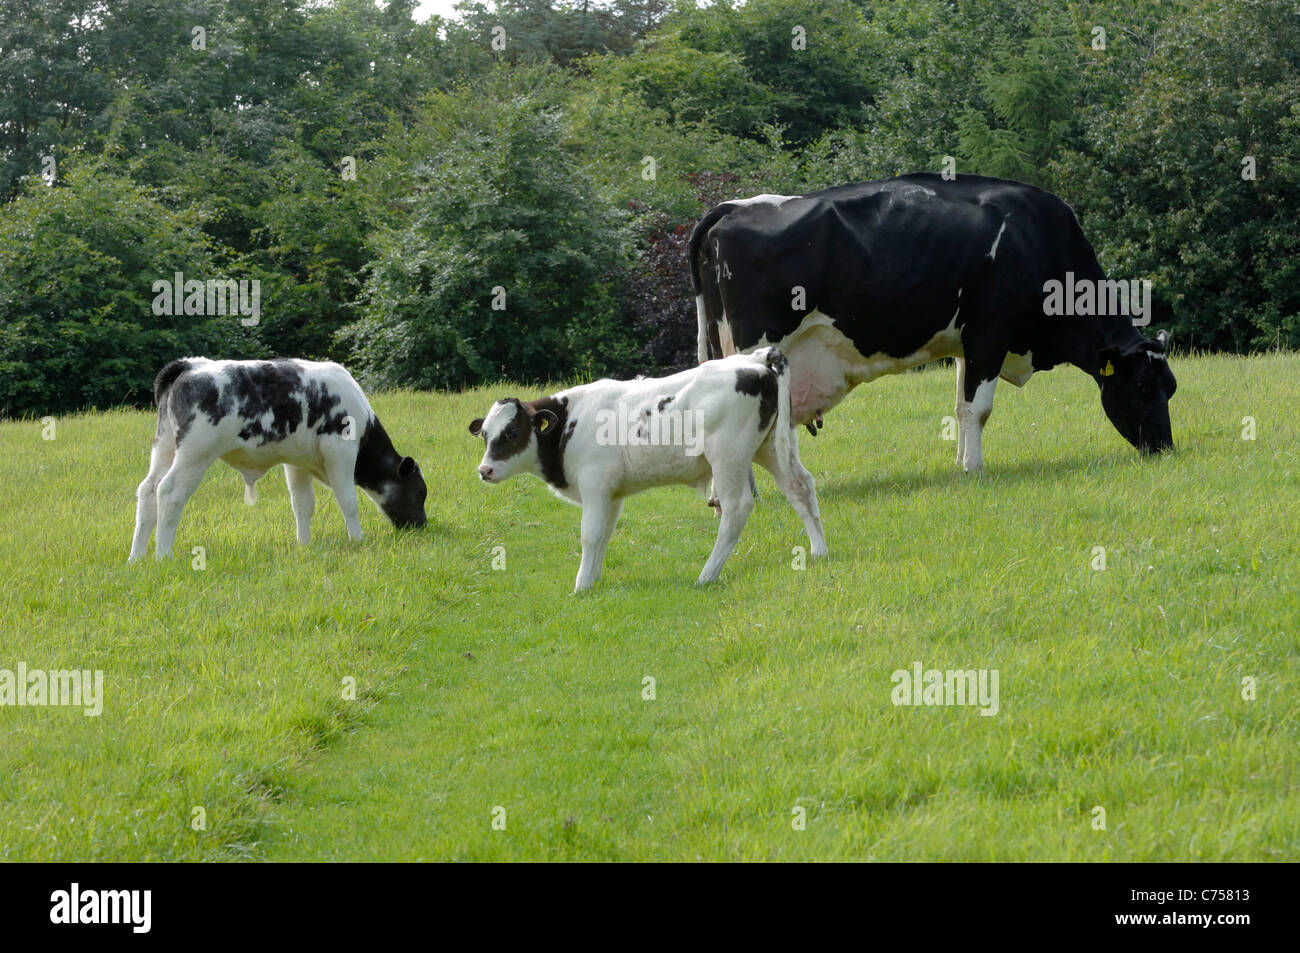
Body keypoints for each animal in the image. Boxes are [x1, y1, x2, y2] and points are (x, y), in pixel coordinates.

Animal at [126, 361, 423, 561]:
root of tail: (189, 365)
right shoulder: (340, 450)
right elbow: (348, 501)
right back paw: (163, 555)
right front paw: (357, 539)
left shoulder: (297, 461)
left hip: (164, 447)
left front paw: (304, 544)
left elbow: (303, 505)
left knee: (148, 489)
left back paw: (137, 556)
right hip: (195, 454)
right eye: (419, 493)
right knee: (169, 491)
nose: (420, 525)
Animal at [473, 345, 826, 590]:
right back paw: (819, 551)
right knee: (801, 488)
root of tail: (754, 360)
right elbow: (604, 535)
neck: (570, 422)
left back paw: (706, 575)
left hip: (728, 457)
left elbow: (590, 534)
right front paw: (594, 579)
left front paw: (581, 586)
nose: (484, 470)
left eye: (512, 432)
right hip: (772, 447)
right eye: (485, 435)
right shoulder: (612, 494)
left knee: (737, 507)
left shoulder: (595, 485)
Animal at [691, 174, 1180, 473]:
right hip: (756, 349)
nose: (1165, 448)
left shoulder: (968, 342)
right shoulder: (990, 335)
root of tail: (733, 207)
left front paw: (963, 463)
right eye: (1140, 387)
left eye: (1170, 388)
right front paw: (976, 469)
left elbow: (962, 406)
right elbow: (979, 408)